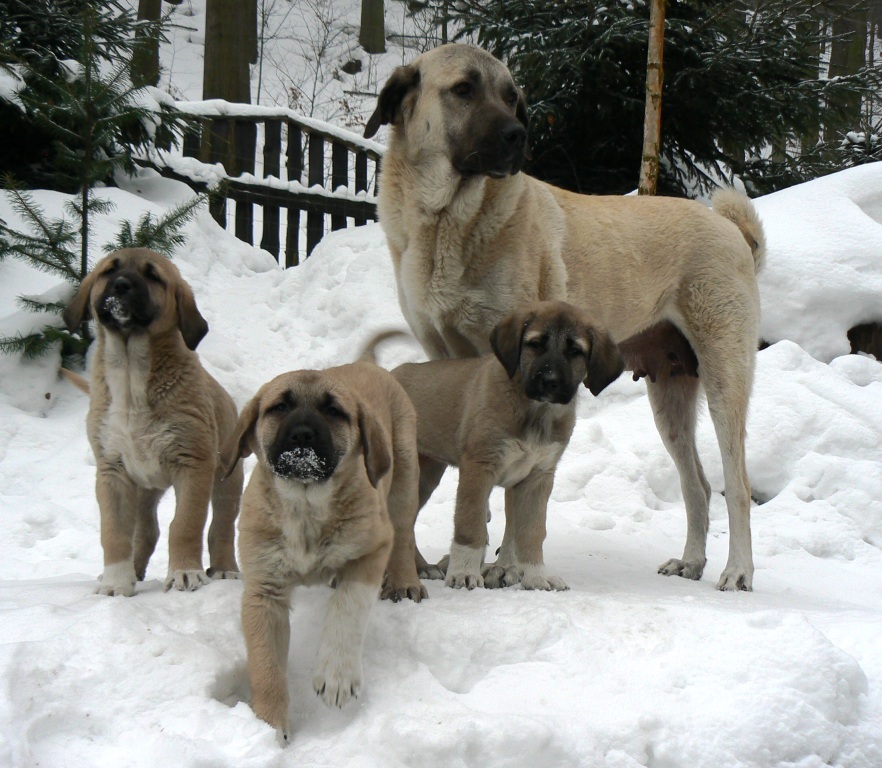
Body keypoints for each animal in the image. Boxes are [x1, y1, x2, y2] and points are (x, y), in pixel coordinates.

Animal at [64, 249, 244, 596]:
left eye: (153, 276)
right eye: (109, 271)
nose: (121, 286)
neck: (131, 374)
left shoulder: (193, 464)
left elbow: (185, 524)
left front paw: (186, 573)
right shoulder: (112, 470)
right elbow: (115, 532)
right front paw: (116, 582)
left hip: (227, 479)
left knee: (221, 527)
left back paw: (225, 569)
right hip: (143, 490)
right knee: (146, 532)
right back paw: (132, 571)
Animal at [223, 366, 420, 744]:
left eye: (334, 411)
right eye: (280, 406)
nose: (303, 435)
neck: (306, 508)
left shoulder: (373, 548)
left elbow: (347, 608)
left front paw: (337, 676)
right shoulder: (263, 591)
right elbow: (265, 665)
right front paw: (270, 728)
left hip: (403, 477)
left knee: (404, 535)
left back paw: (405, 583)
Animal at [360, 304, 624, 592]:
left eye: (575, 350)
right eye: (535, 344)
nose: (550, 381)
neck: (535, 412)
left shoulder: (538, 477)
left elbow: (532, 532)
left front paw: (536, 576)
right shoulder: (479, 468)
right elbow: (470, 525)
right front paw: (464, 573)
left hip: (425, 475)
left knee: (406, 522)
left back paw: (420, 567)